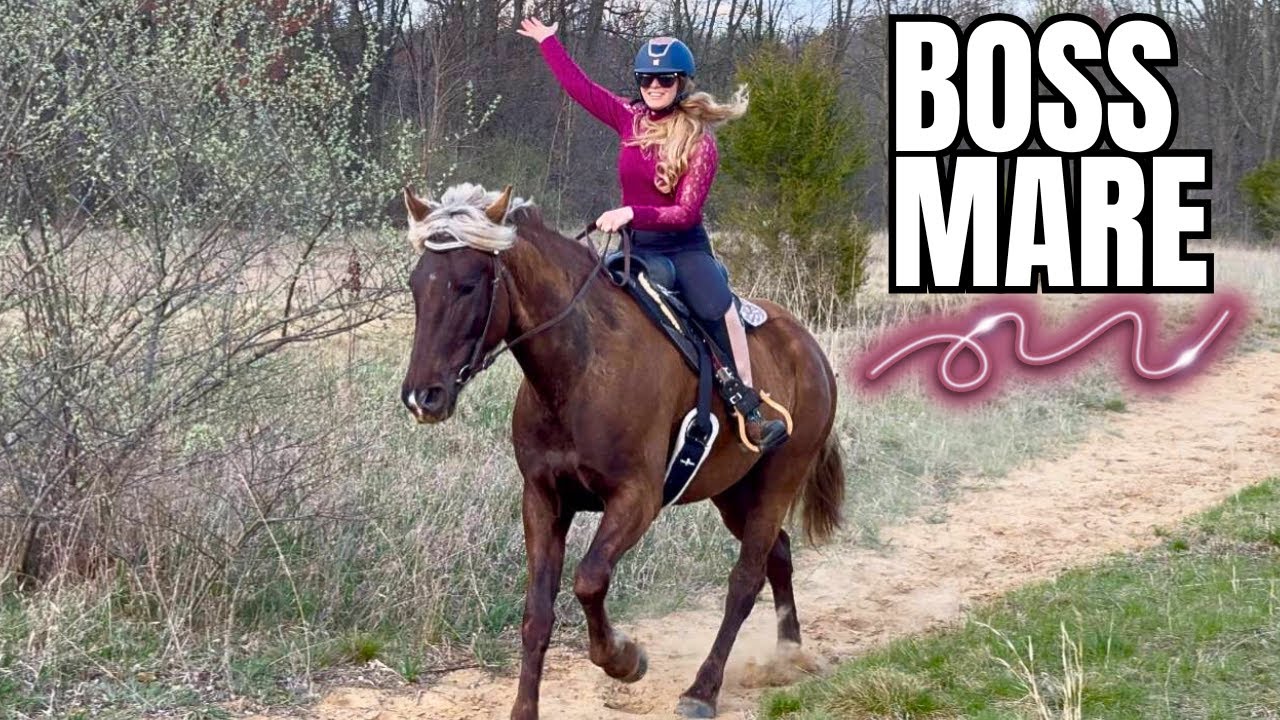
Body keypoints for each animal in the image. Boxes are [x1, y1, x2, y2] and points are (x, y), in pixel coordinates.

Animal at [399, 182, 845, 720]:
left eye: (468, 284)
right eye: (416, 284)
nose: (422, 397)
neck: (579, 370)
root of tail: (810, 347)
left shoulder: (636, 499)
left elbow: (589, 579)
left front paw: (623, 658)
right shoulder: (543, 499)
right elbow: (537, 613)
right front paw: (525, 708)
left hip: (780, 479)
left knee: (746, 578)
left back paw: (703, 690)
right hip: (735, 491)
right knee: (778, 554)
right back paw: (788, 652)